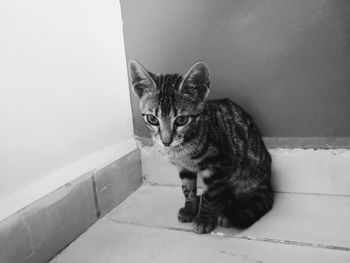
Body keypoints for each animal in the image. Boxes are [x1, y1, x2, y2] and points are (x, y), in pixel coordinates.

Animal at [129, 60, 274, 235]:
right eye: (152, 119)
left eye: (181, 120)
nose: (166, 141)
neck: (182, 147)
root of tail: (268, 185)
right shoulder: (184, 168)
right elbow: (187, 189)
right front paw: (190, 209)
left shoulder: (219, 165)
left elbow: (210, 195)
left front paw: (204, 219)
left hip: (246, 175)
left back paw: (226, 214)